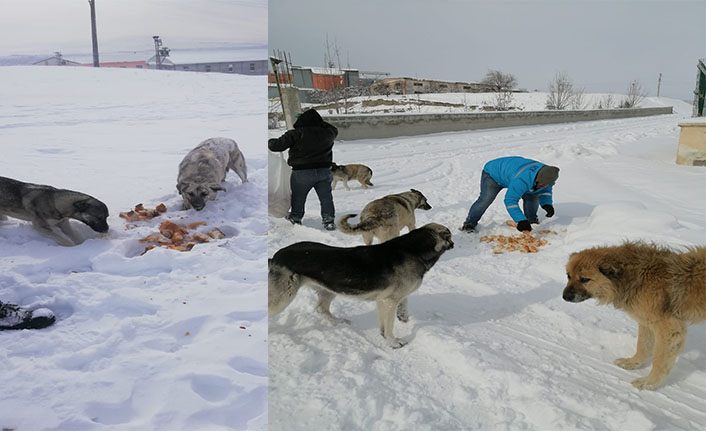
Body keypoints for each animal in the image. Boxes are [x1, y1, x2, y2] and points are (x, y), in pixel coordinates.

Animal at [266, 224, 454, 350]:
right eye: (449, 236)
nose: (453, 243)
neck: (414, 249)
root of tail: (275, 256)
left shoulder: (384, 302)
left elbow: (386, 323)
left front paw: (387, 335)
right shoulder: (390, 301)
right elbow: (390, 326)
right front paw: (393, 342)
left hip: (329, 290)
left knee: (321, 308)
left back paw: (338, 321)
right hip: (283, 297)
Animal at [560, 243, 704, 392]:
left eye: (584, 279)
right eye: (568, 276)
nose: (565, 296)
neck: (636, 277)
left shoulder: (669, 328)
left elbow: (659, 359)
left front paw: (649, 382)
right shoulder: (646, 322)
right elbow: (642, 346)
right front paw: (632, 363)